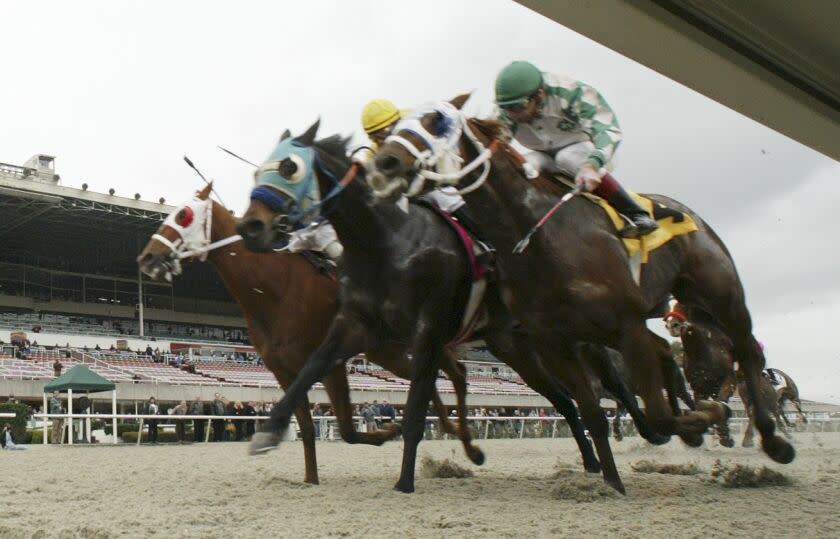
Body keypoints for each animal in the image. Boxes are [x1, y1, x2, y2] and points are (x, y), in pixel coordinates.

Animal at [137, 184, 480, 484]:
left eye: (183, 215)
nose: (146, 258)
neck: (274, 288)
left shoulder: (330, 361)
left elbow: (346, 429)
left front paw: (389, 432)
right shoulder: (284, 370)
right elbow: (304, 423)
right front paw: (310, 479)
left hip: (417, 335)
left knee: (454, 370)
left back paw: (466, 441)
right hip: (386, 351)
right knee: (427, 375)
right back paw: (452, 430)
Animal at [370, 98, 796, 472]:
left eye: (436, 123)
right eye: (391, 130)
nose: (385, 162)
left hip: (716, 291)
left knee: (741, 352)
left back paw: (764, 437)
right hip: (527, 346)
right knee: (641, 366)